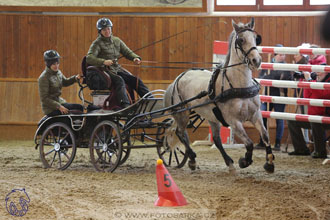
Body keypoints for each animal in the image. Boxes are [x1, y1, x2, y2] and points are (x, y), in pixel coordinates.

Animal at [164, 18, 274, 173]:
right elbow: (249, 143)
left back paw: (228, 162)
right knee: (180, 132)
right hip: (182, 114)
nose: (256, 61)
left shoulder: (256, 115)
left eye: (256, 38)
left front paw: (269, 163)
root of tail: (177, 79)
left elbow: (265, 136)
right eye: (241, 40)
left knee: (215, 139)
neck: (239, 86)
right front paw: (244, 161)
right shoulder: (234, 121)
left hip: (211, 116)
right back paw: (192, 159)